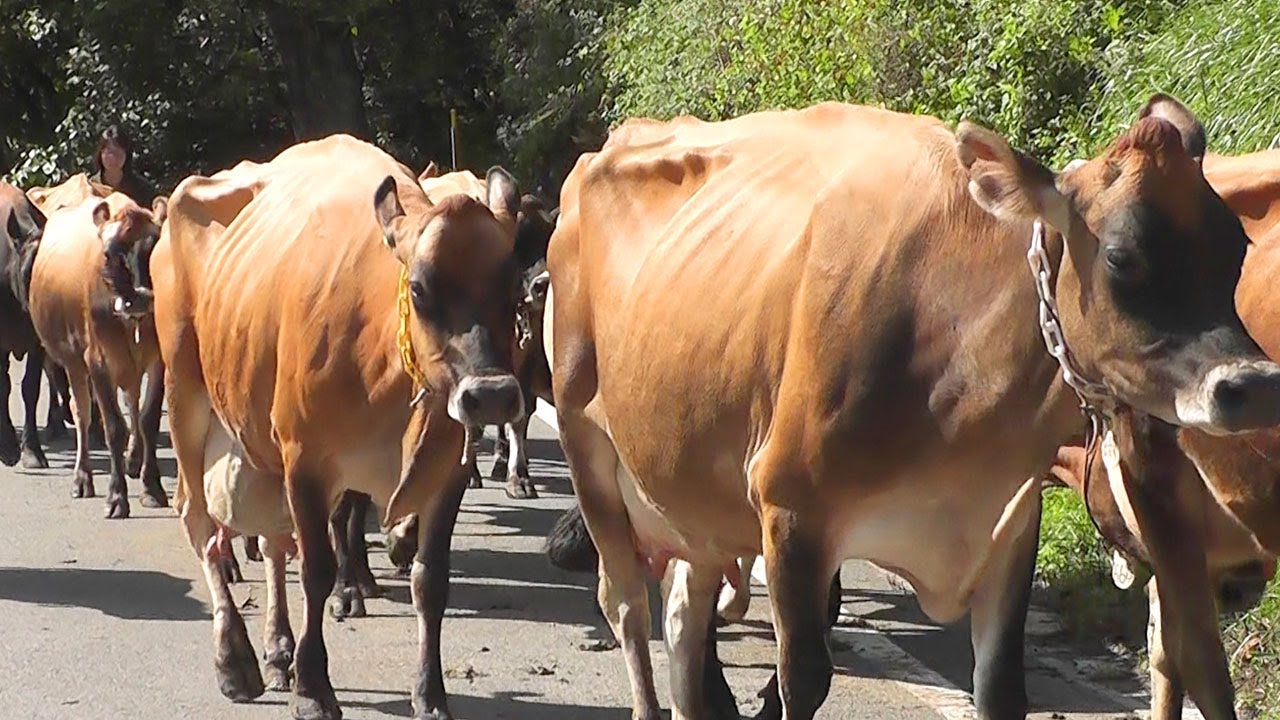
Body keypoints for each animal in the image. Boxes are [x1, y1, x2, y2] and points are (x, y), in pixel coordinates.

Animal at [28, 190, 168, 518]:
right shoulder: (98, 360)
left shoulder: (158, 360)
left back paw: (134, 459)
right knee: (82, 413)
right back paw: (82, 478)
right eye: (109, 254)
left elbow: (148, 420)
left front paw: (152, 488)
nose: (140, 298)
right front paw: (117, 497)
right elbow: (113, 427)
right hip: (73, 360)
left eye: (154, 247)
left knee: (131, 400)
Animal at [154, 134, 532, 719]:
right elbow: (317, 570)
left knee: (271, 539)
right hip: (185, 395)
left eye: (512, 286)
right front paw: (314, 689)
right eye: (419, 289)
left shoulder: (445, 474)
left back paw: (277, 649)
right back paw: (234, 657)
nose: (490, 395)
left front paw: (429, 694)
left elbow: (430, 580)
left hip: (257, 440)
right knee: (198, 520)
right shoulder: (306, 459)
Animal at [543, 95, 1280, 720]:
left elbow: (1002, 689)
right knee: (627, 605)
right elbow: (802, 683)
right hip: (588, 446)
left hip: (691, 492)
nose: (1253, 384)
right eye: (1122, 257)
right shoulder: (789, 509)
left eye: (1238, 247)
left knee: (682, 615)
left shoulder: (1009, 523)